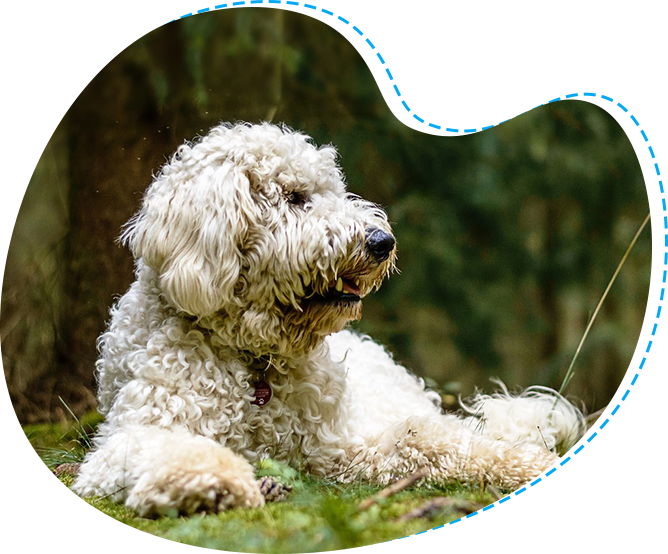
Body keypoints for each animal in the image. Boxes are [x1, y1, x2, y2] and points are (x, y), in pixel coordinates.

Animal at [74, 121, 584, 512]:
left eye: (331, 191)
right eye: (295, 197)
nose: (382, 242)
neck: (255, 360)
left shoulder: (338, 446)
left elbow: (424, 440)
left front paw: (521, 464)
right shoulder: (136, 432)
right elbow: (169, 448)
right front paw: (212, 482)